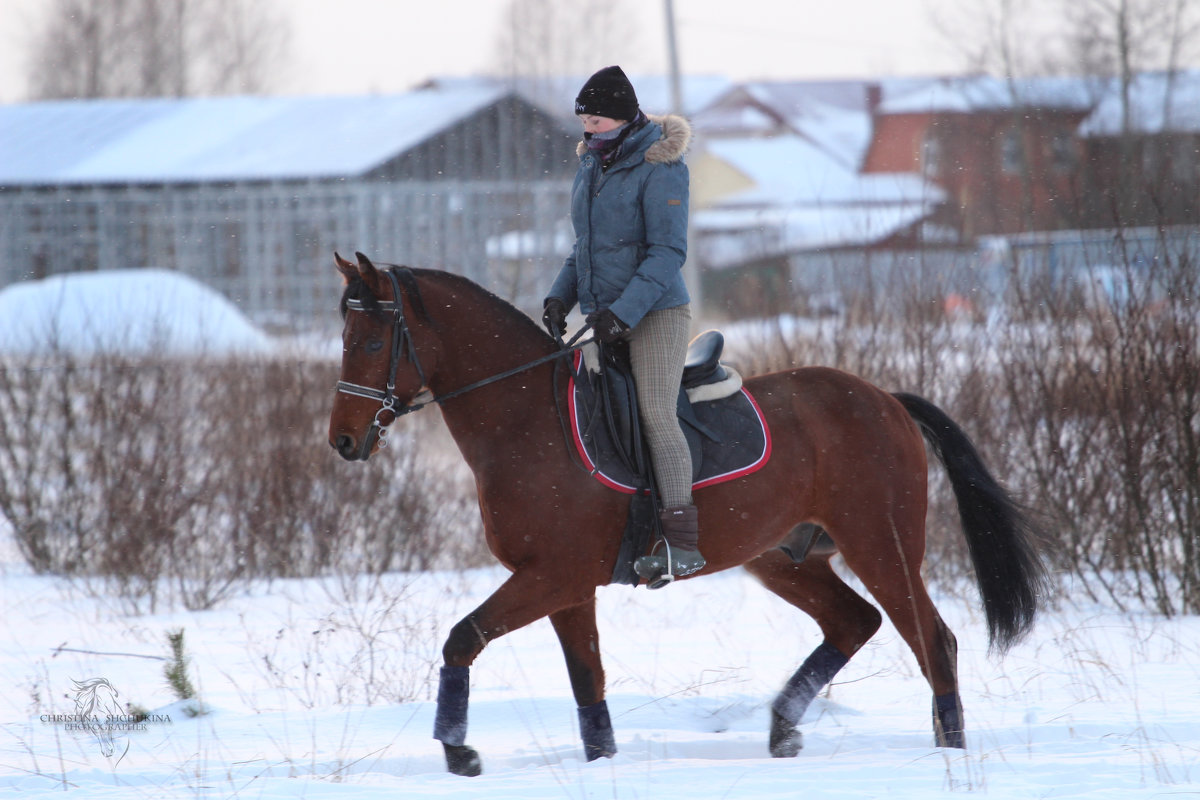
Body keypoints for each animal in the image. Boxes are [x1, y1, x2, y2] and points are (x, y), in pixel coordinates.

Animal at [326, 251, 1041, 777]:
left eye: (372, 341)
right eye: (346, 337)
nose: (343, 442)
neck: (528, 423)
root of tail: (884, 399)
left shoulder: (552, 576)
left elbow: (463, 637)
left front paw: (459, 750)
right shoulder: (565, 586)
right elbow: (587, 681)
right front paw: (599, 762)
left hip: (880, 545)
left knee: (933, 641)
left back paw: (947, 752)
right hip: (782, 558)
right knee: (855, 620)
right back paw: (783, 730)